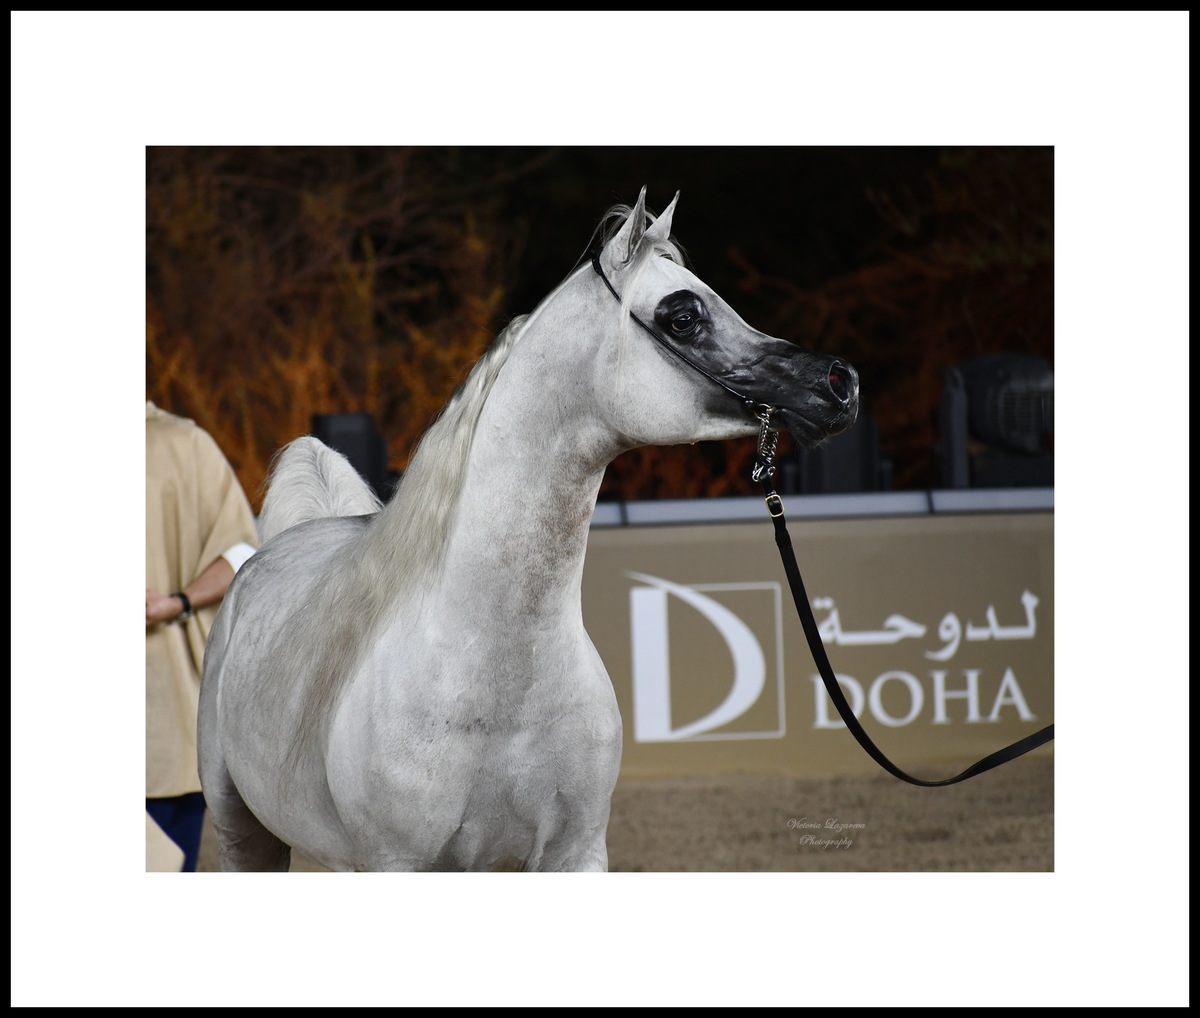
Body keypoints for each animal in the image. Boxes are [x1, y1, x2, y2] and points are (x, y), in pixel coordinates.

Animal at [197, 188, 859, 872]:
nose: (840, 383)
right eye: (682, 316)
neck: (499, 682)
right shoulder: (397, 862)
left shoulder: (576, 853)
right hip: (243, 832)